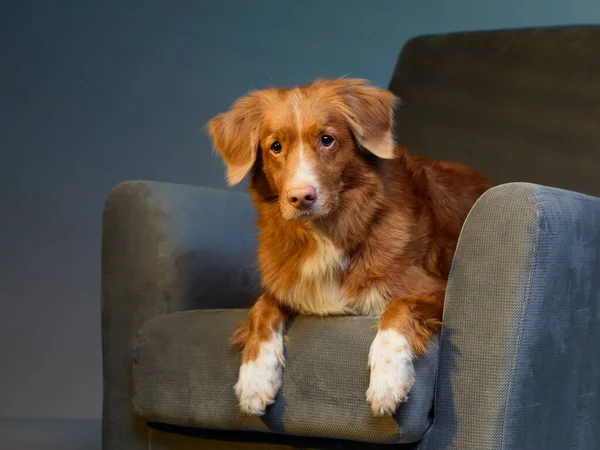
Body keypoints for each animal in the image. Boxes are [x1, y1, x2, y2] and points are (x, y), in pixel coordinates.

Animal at [206, 76, 492, 414]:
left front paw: (388, 376)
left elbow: (398, 306)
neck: (328, 232)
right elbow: (262, 309)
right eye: (275, 147)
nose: (301, 197)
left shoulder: (437, 288)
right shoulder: (287, 284)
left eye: (327, 139)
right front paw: (254, 377)